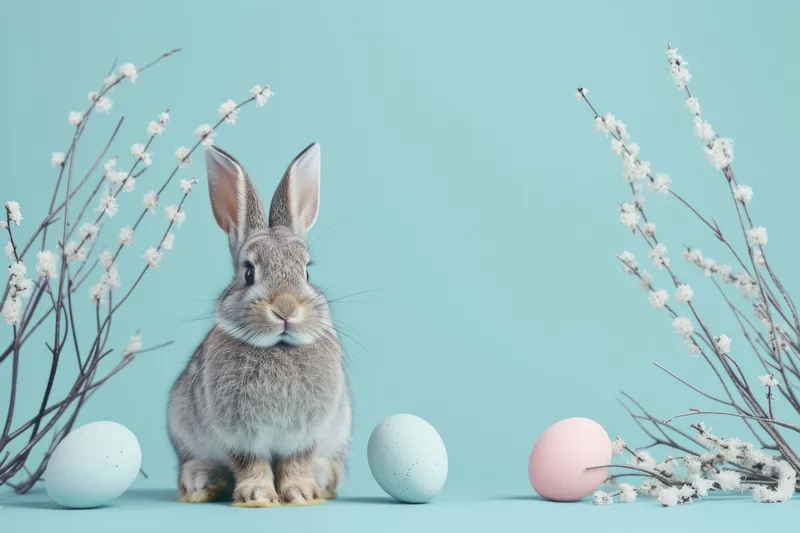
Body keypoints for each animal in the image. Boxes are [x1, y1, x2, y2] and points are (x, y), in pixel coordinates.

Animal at [167, 142, 352, 507]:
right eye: (248, 272)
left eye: (306, 271)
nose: (286, 308)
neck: (279, 348)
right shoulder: (238, 435)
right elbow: (249, 463)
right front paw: (257, 496)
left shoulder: (304, 434)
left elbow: (296, 461)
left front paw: (300, 493)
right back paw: (201, 480)